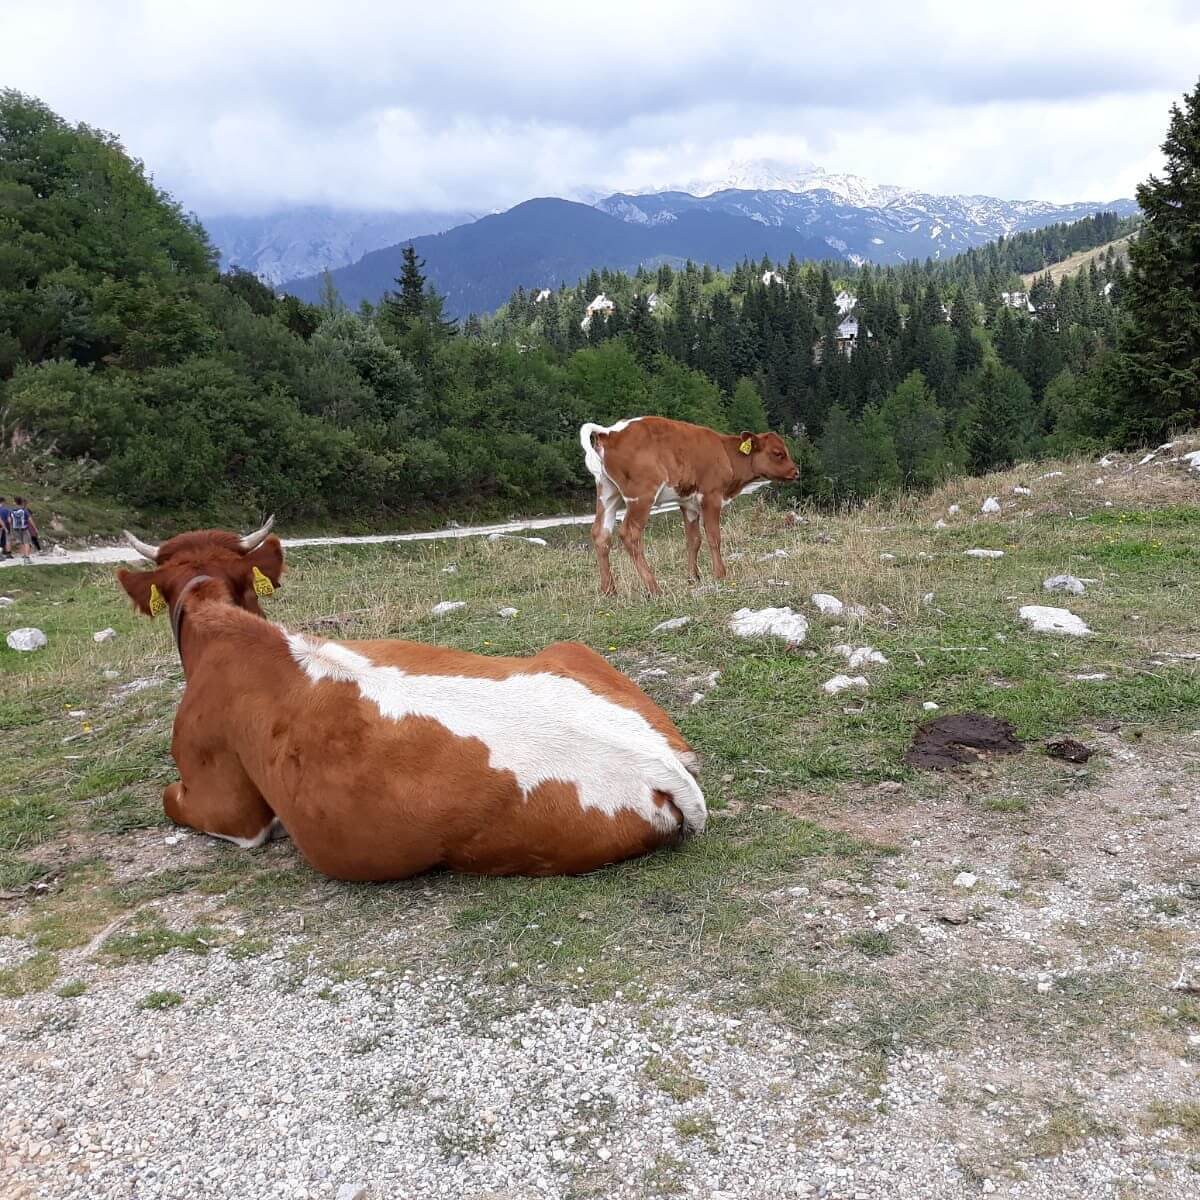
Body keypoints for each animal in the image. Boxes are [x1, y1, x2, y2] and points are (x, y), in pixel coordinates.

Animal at [578, 417, 796, 595]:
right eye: (778, 453)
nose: (796, 471)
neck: (725, 453)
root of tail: (610, 432)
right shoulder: (711, 496)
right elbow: (713, 537)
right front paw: (720, 574)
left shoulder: (688, 503)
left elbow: (694, 540)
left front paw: (693, 577)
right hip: (641, 496)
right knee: (629, 534)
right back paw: (654, 587)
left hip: (607, 494)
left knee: (600, 534)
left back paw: (609, 590)